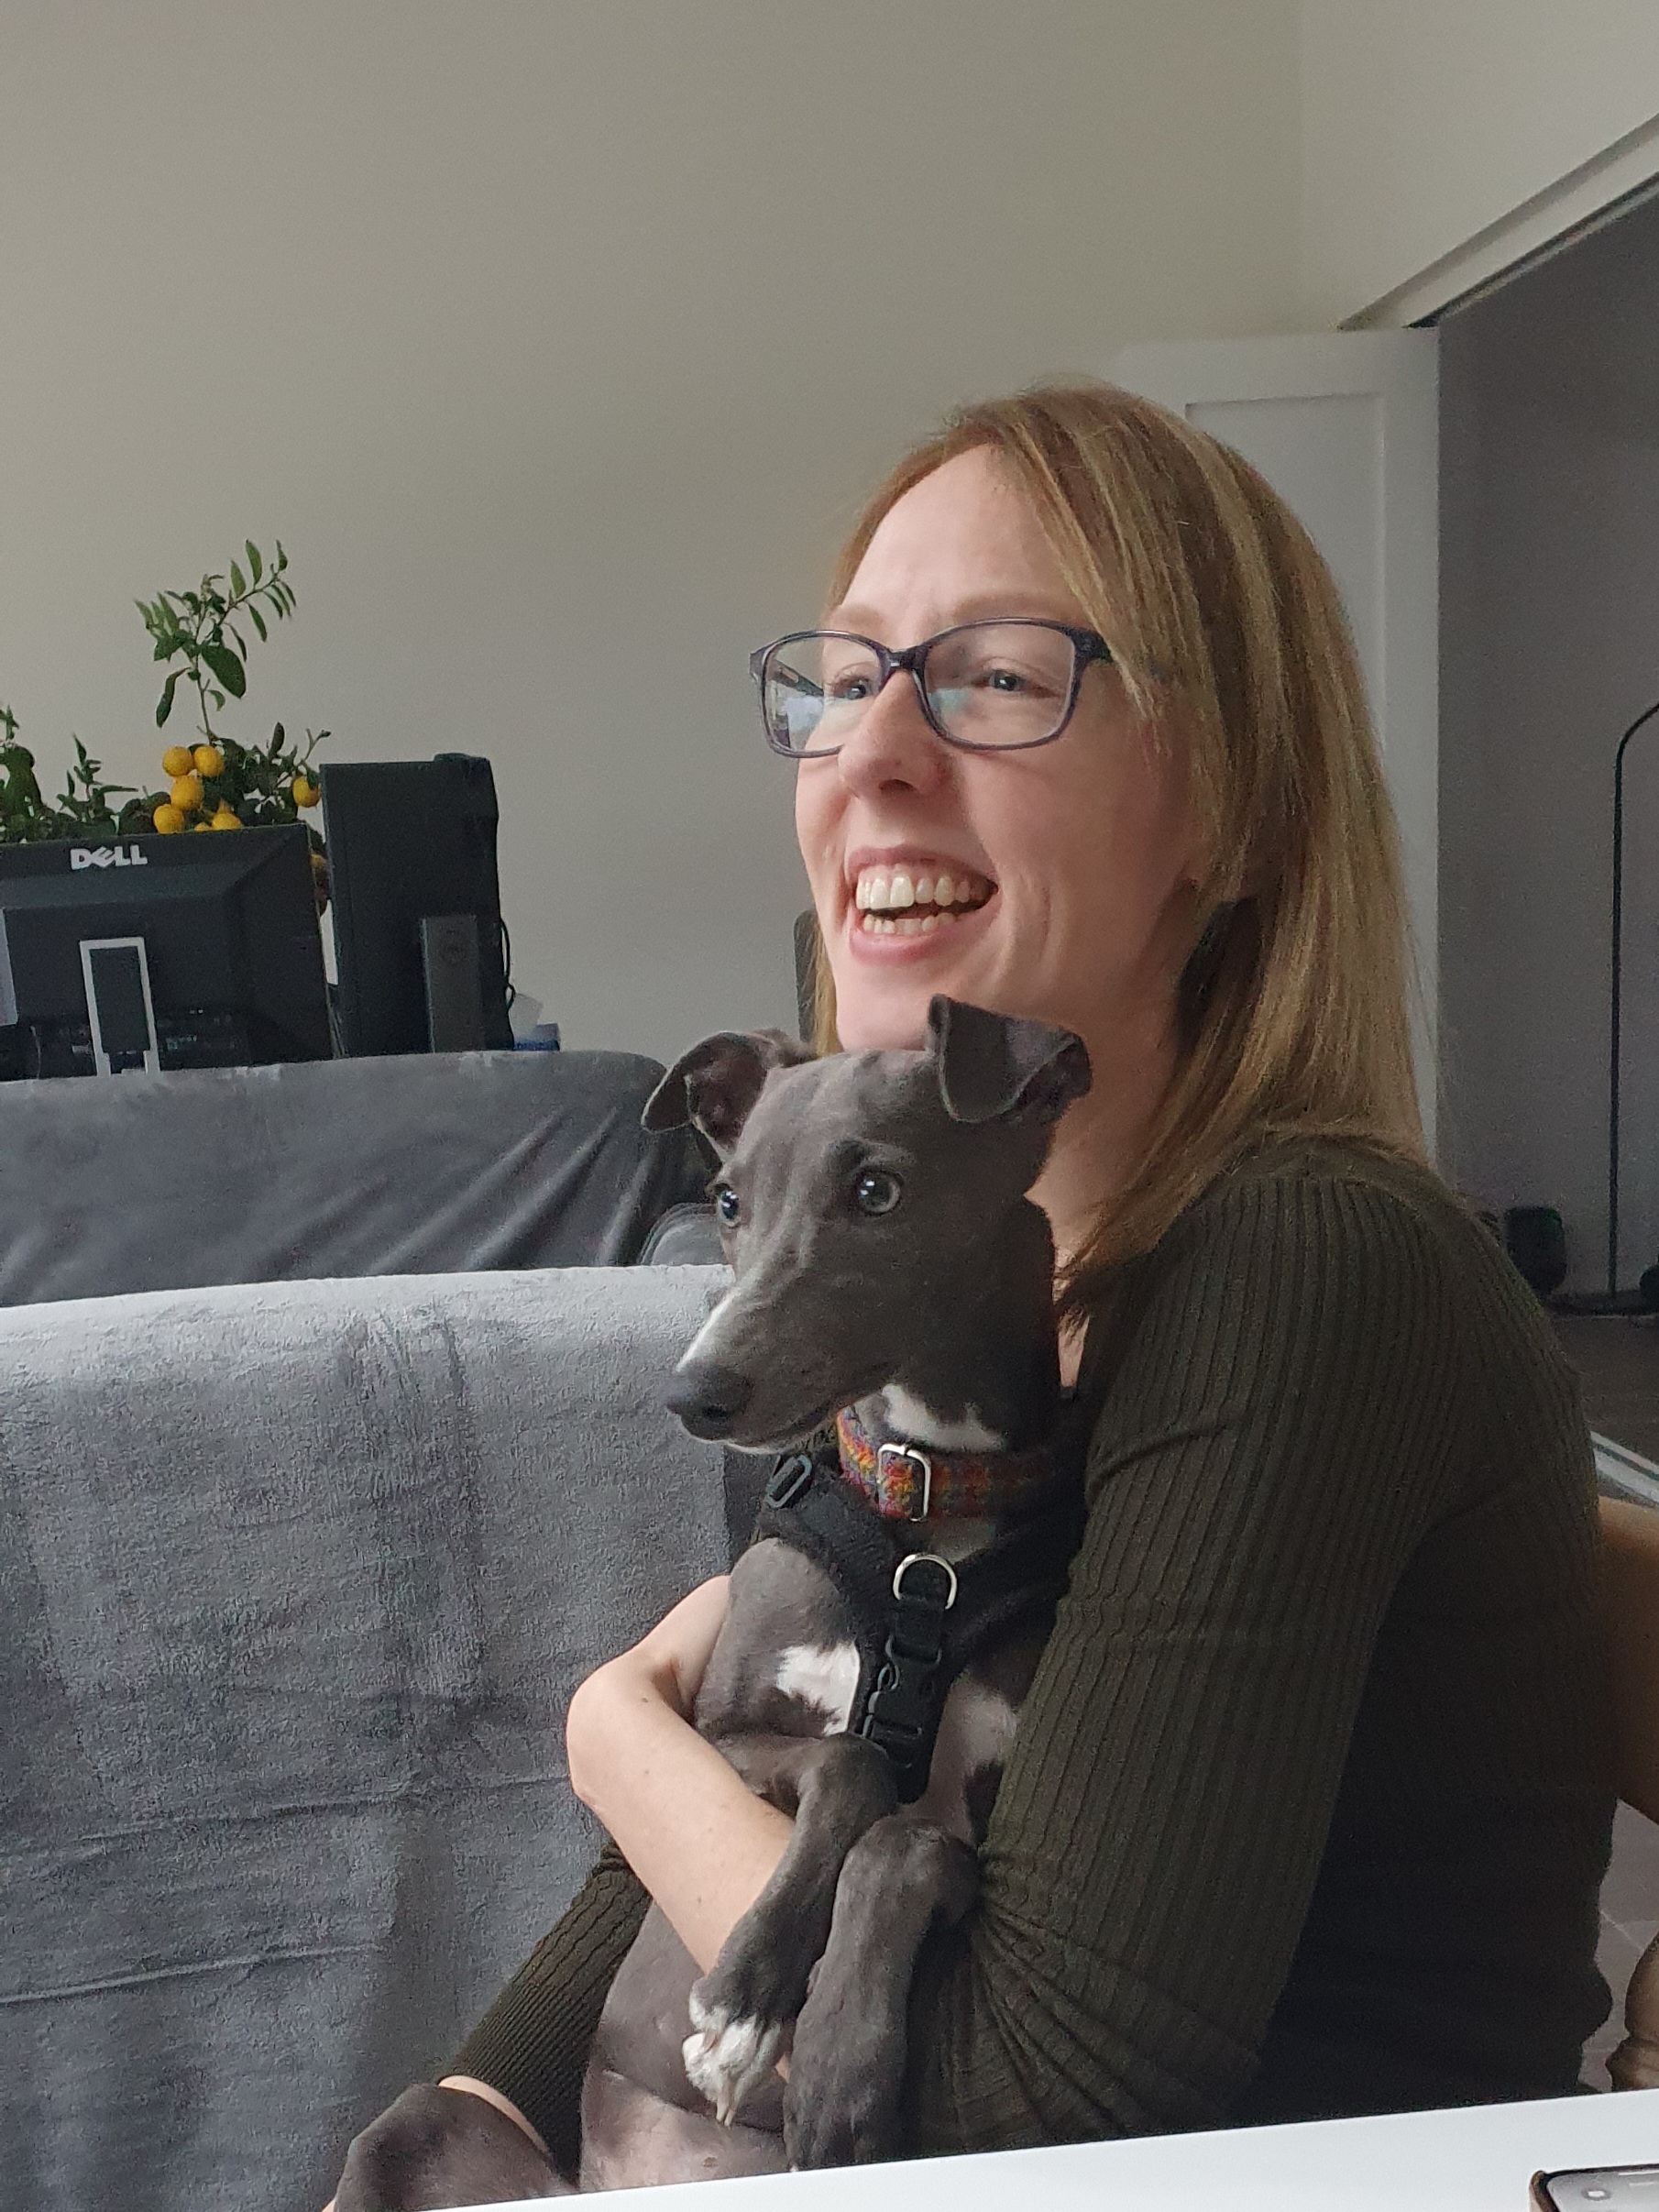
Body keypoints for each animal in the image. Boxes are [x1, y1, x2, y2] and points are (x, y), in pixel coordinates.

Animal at [333, 995, 1090, 2205]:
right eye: (729, 1200)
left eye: (875, 1189)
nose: (693, 1393)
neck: (922, 1520)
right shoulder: (717, 1734)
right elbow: (854, 1758)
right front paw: (745, 1999)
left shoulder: (998, 1808)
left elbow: (913, 1840)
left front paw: (835, 2060)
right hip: (419, 2123)